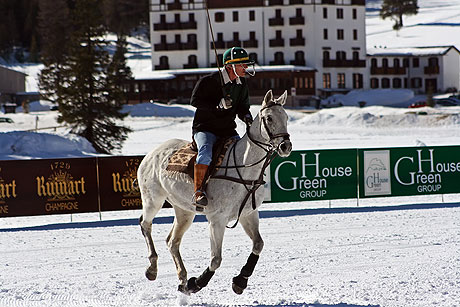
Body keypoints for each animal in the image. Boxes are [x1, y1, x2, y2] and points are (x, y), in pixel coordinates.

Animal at [138, 89, 292, 296]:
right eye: (269, 118)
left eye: (286, 117)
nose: (286, 146)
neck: (244, 170)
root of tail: (151, 153)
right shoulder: (217, 219)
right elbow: (216, 259)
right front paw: (197, 283)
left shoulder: (248, 214)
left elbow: (258, 244)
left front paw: (240, 281)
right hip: (153, 198)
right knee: (145, 224)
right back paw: (153, 269)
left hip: (184, 210)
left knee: (173, 241)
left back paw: (182, 279)